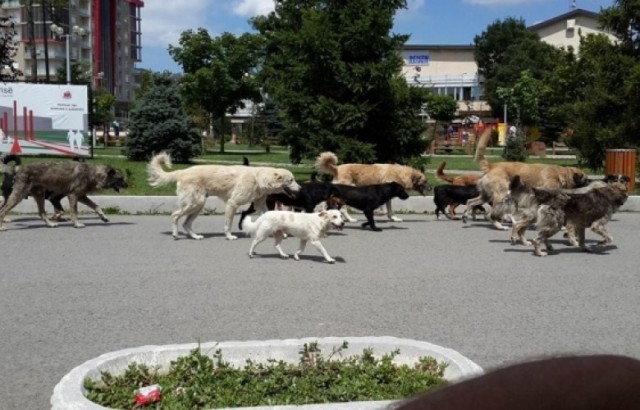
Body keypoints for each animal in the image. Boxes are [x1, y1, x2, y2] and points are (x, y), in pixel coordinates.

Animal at [149, 151, 302, 240]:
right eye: (291, 180)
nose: (300, 189)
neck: (259, 178)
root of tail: (182, 171)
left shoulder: (259, 205)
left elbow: (268, 216)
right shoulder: (232, 204)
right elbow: (228, 224)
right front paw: (229, 236)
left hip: (198, 205)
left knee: (186, 223)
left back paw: (195, 236)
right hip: (195, 203)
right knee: (174, 216)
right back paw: (175, 234)